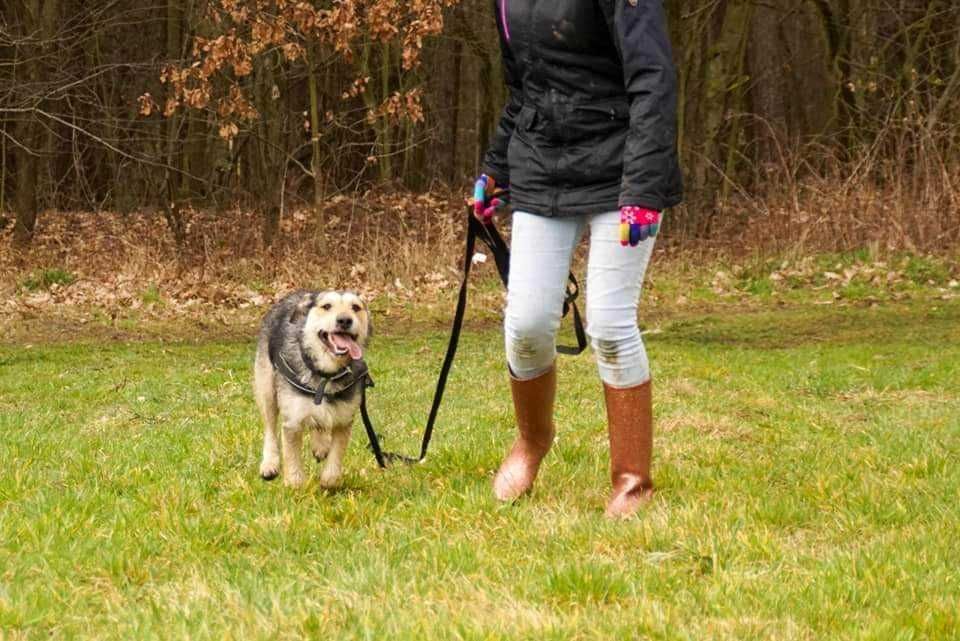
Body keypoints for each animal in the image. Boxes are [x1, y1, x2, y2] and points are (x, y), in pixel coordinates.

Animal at [253, 288, 374, 488]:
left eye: (356, 307)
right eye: (326, 306)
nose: (344, 320)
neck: (326, 374)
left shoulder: (344, 419)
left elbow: (336, 454)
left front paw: (328, 480)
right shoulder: (292, 419)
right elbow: (291, 455)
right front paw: (295, 484)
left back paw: (320, 445)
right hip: (266, 387)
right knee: (270, 427)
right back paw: (269, 463)